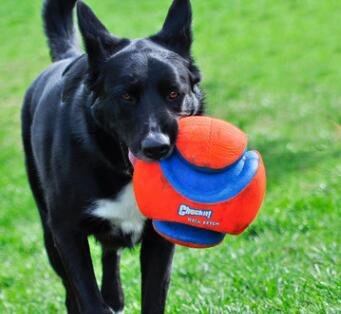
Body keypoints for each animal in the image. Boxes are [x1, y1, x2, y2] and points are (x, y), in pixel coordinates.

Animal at [22, 0, 203, 312]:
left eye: (173, 93)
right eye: (126, 96)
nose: (156, 147)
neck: (124, 171)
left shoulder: (160, 239)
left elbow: (153, 296)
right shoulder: (66, 233)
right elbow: (87, 296)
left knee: (110, 252)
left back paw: (114, 295)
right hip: (48, 234)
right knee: (70, 289)